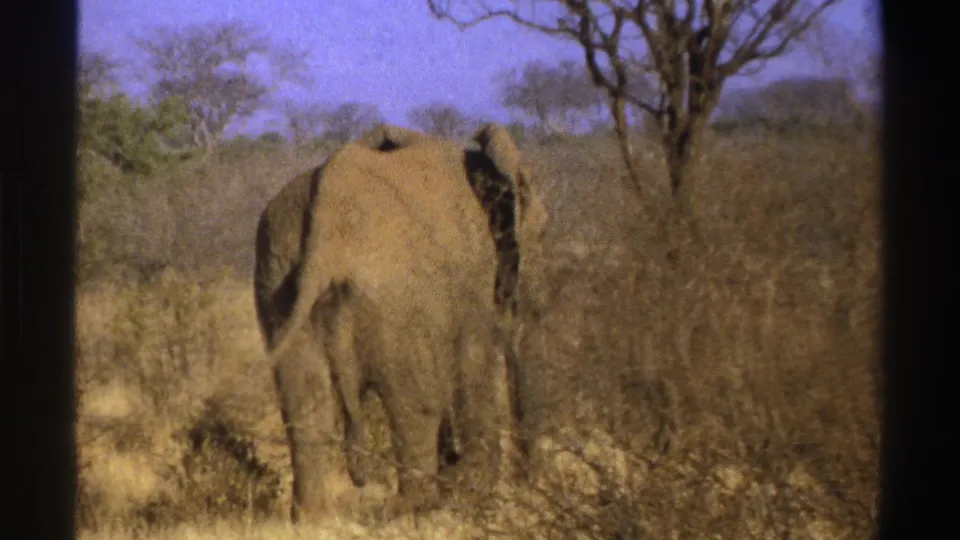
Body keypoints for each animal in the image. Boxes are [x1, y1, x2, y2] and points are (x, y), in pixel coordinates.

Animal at [253, 123, 547, 522]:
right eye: (542, 234)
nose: (528, 481)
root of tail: (328, 219)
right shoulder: (473, 271)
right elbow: (473, 359)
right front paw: (475, 495)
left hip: (277, 275)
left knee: (304, 399)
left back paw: (314, 518)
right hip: (395, 291)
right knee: (415, 401)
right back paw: (418, 508)